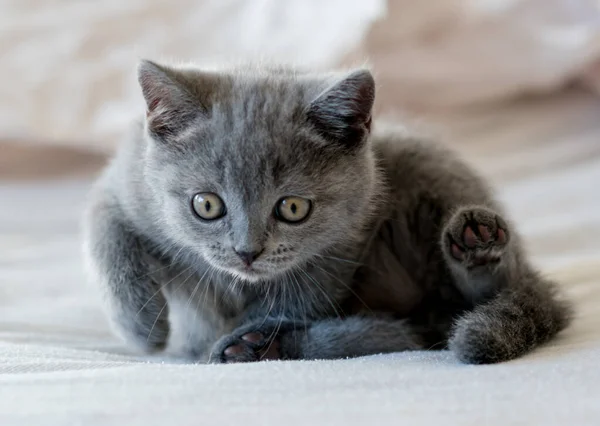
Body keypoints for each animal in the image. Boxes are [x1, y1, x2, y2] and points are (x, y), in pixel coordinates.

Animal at [81, 60, 572, 364]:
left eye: (293, 207)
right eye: (206, 205)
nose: (247, 252)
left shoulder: (340, 245)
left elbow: (295, 300)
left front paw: (243, 334)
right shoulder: (125, 182)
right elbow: (109, 235)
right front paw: (143, 326)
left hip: (419, 158)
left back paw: (478, 245)